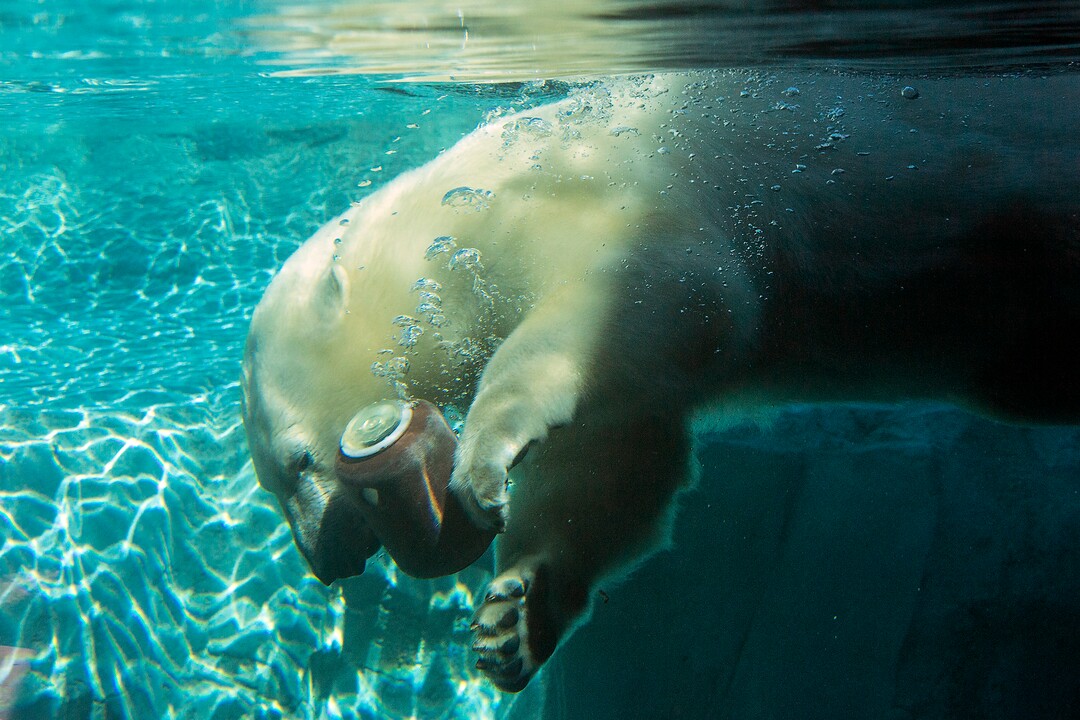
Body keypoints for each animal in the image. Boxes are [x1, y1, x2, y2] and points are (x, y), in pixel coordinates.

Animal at [242, 70, 1079, 692]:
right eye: (277, 479)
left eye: (298, 462)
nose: (327, 559)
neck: (463, 210)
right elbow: (626, 453)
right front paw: (514, 618)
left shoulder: (605, 193)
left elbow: (654, 301)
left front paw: (483, 464)